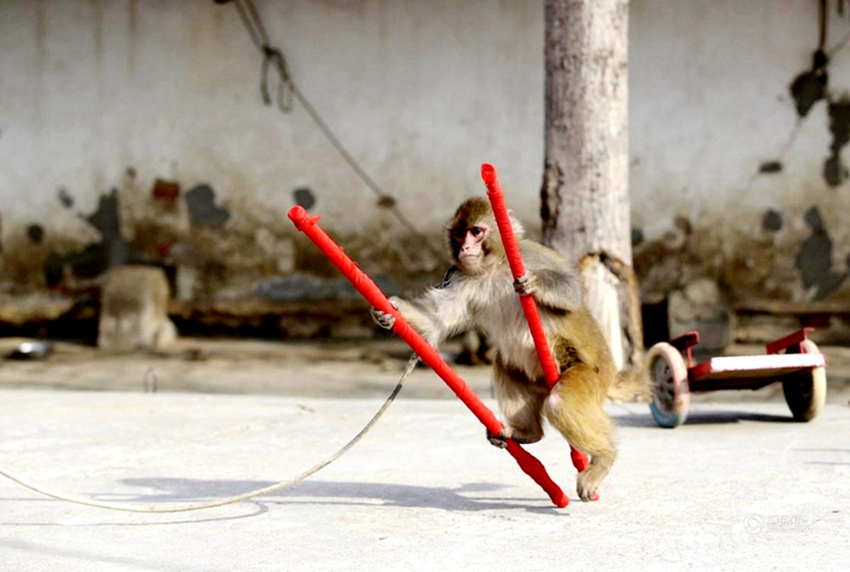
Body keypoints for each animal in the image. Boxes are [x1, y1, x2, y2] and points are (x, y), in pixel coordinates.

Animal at [372, 198, 648, 500]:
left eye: (476, 232)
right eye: (459, 234)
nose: (465, 248)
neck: (494, 266)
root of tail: (609, 377)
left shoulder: (530, 255)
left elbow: (573, 291)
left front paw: (535, 285)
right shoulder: (462, 279)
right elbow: (437, 320)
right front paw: (392, 311)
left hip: (589, 377)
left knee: (559, 401)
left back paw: (603, 459)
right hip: (535, 379)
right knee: (506, 365)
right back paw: (527, 433)